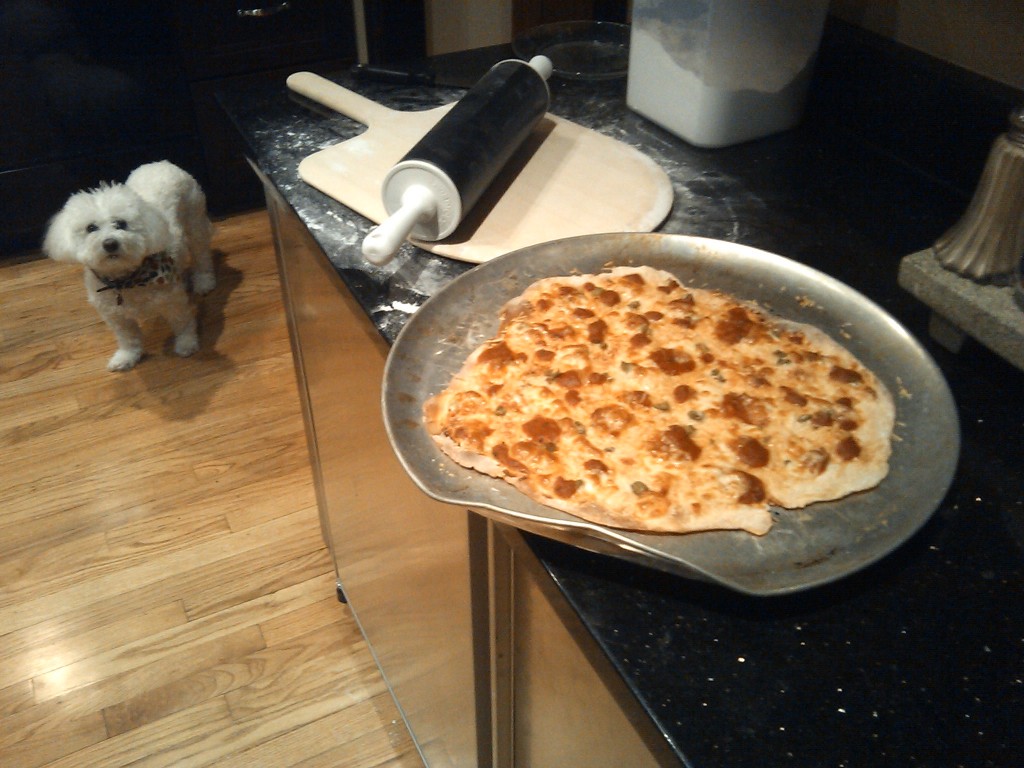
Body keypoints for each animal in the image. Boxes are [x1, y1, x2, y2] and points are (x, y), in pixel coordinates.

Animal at [43, 160, 216, 370]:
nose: (110, 243)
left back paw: (204, 282)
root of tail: (160, 163)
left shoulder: (173, 301)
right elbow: (128, 338)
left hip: (194, 222)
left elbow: (182, 322)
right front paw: (127, 357)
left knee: (202, 256)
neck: (125, 280)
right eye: (91, 228)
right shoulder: (116, 316)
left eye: (121, 224)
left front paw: (187, 343)